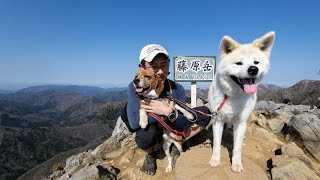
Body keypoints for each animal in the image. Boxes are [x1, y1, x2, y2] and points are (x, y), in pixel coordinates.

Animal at [208, 31, 276, 172]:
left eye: (256, 62)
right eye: (239, 63)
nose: (253, 69)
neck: (232, 96)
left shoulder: (240, 122)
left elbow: (237, 147)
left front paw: (236, 164)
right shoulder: (217, 120)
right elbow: (216, 144)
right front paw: (215, 160)